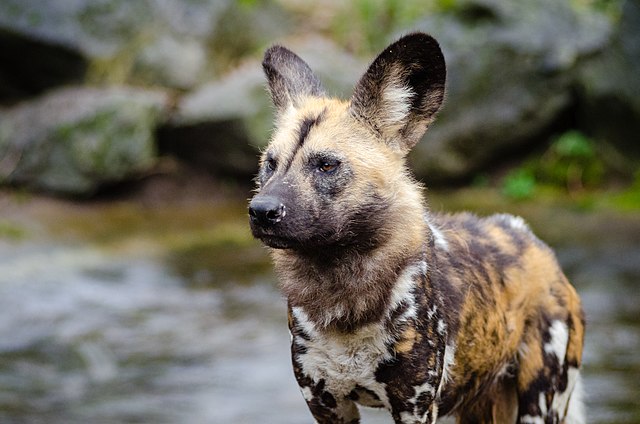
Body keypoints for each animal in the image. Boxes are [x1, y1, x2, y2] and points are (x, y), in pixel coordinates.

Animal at [249, 33, 584, 424]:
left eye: (327, 165)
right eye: (269, 164)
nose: (261, 211)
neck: (343, 297)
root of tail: (533, 240)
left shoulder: (414, 406)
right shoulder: (326, 404)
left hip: (540, 403)